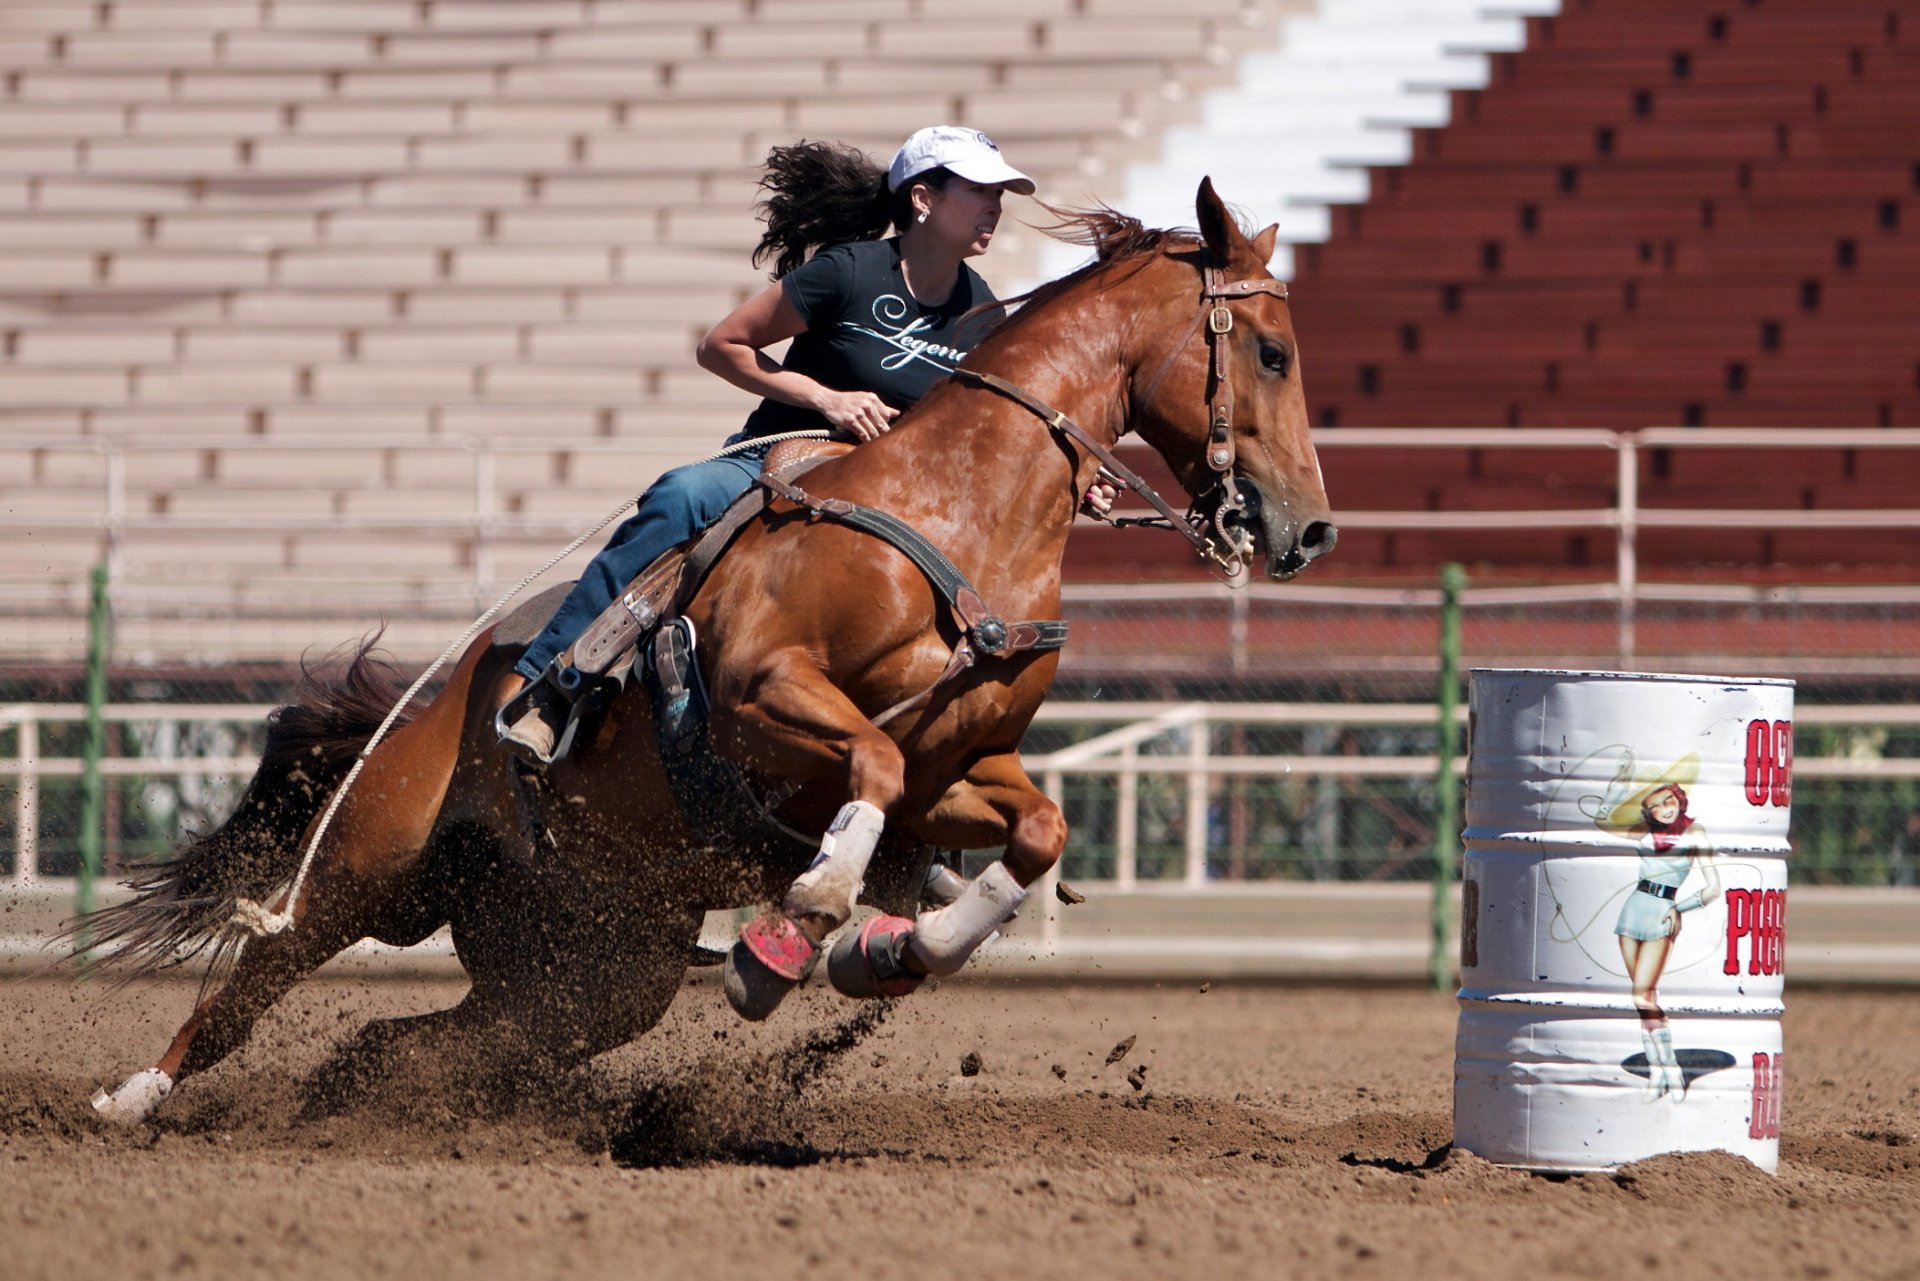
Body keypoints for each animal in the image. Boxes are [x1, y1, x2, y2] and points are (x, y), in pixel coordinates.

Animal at [84, 180, 1336, 1123]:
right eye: (1272, 352)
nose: (1309, 530)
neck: (960, 513)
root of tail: (433, 701)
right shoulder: (761, 700)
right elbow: (871, 768)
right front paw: (802, 923)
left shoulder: (962, 771)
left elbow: (1037, 832)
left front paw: (893, 950)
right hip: (371, 864)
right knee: (252, 982)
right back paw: (131, 1100)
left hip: (594, 959)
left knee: (418, 1040)